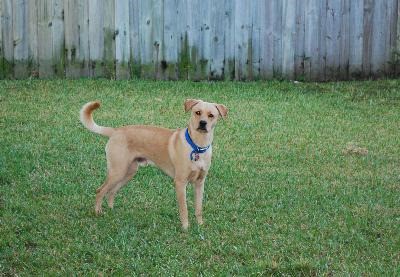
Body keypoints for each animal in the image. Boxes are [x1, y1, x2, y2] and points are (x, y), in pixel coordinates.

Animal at [79, 98, 227, 229]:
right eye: (197, 112)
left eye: (211, 115)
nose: (202, 123)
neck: (197, 146)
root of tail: (115, 131)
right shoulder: (180, 183)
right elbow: (184, 209)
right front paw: (185, 228)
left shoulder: (200, 183)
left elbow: (198, 208)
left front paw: (200, 225)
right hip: (118, 171)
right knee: (100, 190)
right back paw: (98, 212)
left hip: (128, 172)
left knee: (111, 191)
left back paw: (111, 211)